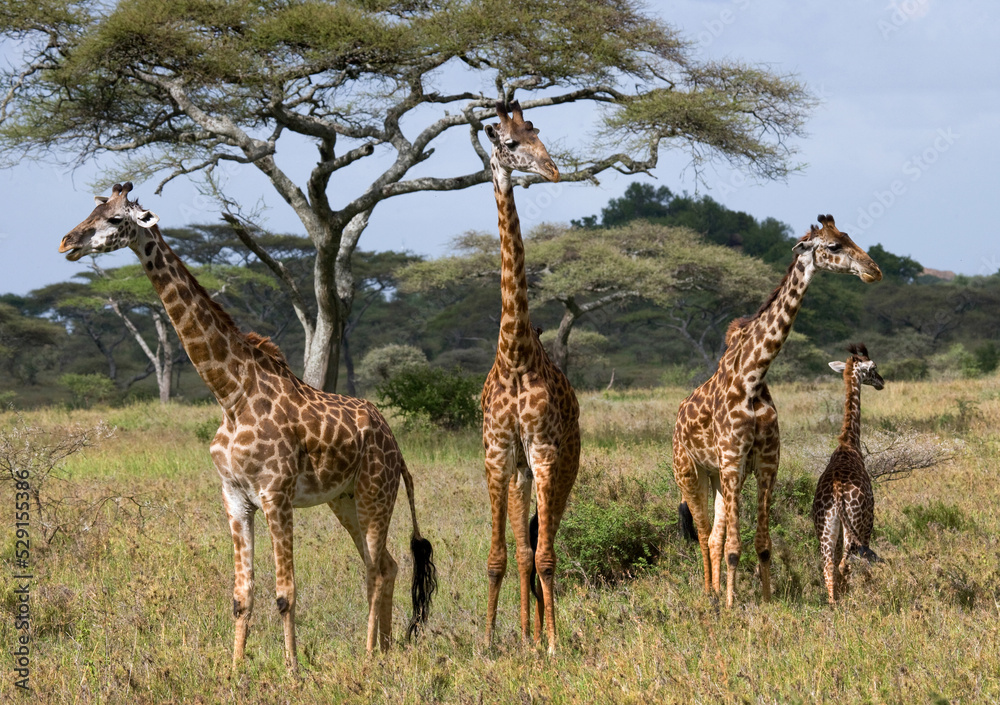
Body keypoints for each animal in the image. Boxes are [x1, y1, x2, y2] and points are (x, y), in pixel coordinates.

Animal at [58, 179, 434, 668]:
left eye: (116, 219)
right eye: (92, 211)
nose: (68, 242)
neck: (231, 394)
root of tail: (396, 444)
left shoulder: (276, 495)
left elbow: (285, 594)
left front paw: (292, 670)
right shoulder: (235, 498)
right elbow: (242, 595)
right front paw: (235, 670)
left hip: (375, 492)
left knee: (375, 566)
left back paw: (371, 654)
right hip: (344, 499)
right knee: (385, 564)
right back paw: (382, 651)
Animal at [812, 344, 884, 604]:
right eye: (873, 367)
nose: (882, 381)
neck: (849, 442)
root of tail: (837, 493)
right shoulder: (869, 519)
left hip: (825, 527)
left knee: (828, 566)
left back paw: (835, 603)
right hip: (855, 523)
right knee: (845, 563)